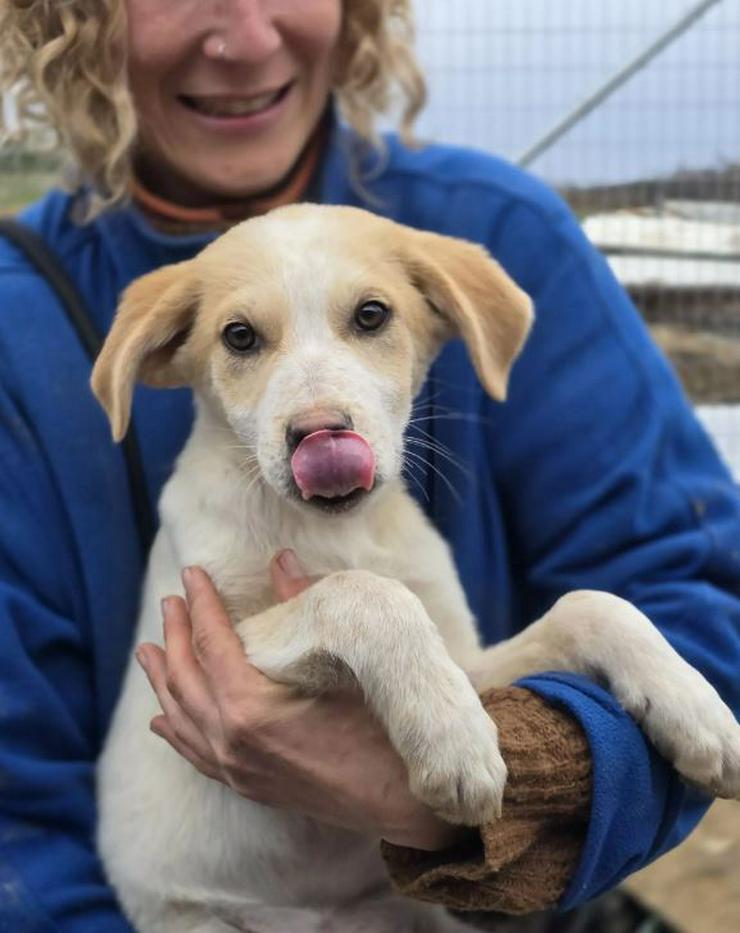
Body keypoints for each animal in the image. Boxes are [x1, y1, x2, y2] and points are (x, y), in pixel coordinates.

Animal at [92, 206, 740, 932]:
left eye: (372, 315)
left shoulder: (466, 661)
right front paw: (451, 737)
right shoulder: (206, 650)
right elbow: (362, 592)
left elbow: (592, 604)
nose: (321, 435)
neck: (337, 532)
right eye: (239, 336)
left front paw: (694, 707)